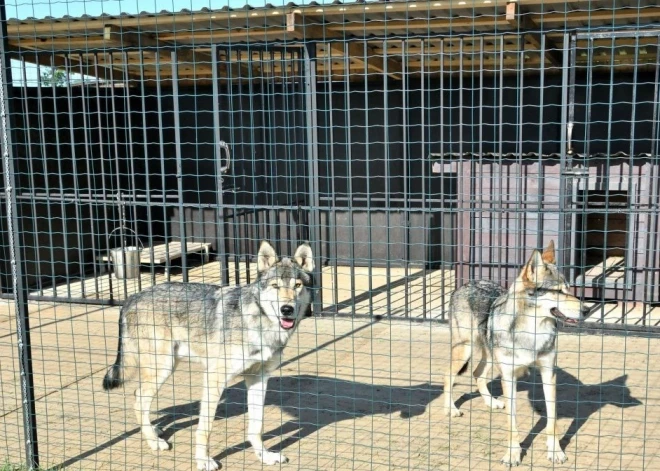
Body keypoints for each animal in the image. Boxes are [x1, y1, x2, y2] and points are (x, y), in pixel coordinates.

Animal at [102, 242, 316, 471]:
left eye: (297, 285)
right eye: (275, 286)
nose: (287, 309)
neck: (259, 323)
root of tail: (131, 297)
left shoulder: (258, 378)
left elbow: (256, 426)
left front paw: (264, 456)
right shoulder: (214, 378)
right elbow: (205, 427)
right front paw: (203, 460)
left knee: (140, 399)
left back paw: (154, 430)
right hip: (163, 368)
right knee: (139, 398)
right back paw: (153, 441)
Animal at [446, 242, 592, 466]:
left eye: (569, 289)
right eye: (558, 291)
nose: (587, 310)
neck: (532, 334)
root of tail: (465, 285)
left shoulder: (548, 374)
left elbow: (552, 419)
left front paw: (555, 451)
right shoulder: (509, 377)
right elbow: (512, 424)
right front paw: (512, 454)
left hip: (489, 355)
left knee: (477, 374)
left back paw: (492, 402)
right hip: (465, 350)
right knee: (448, 375)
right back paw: (451, 409)